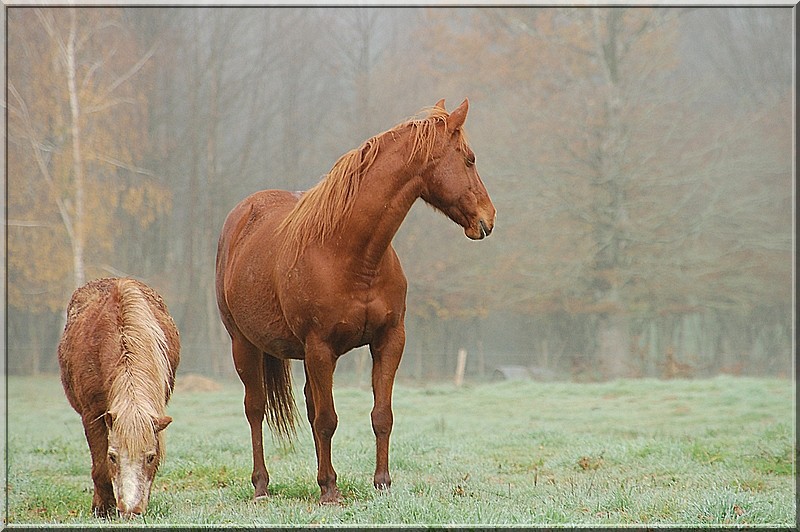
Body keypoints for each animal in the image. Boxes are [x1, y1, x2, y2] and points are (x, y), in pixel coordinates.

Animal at [57, 276, 180, 516]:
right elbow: (100, 467)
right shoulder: (93, 414)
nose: (131, 511)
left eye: (151, 457)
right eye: (113, 457)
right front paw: (102, 509)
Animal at [216, 98, 496, 502]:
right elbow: (327, 420)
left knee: (308, 406)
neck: (352, 252)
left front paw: (382, 483)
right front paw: (330, 490)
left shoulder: (388, 341)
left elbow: (381, 415)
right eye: (470, 159)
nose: (488, 219)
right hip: (244, 345)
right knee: (256, 410)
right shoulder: (321, 348)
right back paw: (262, 485)